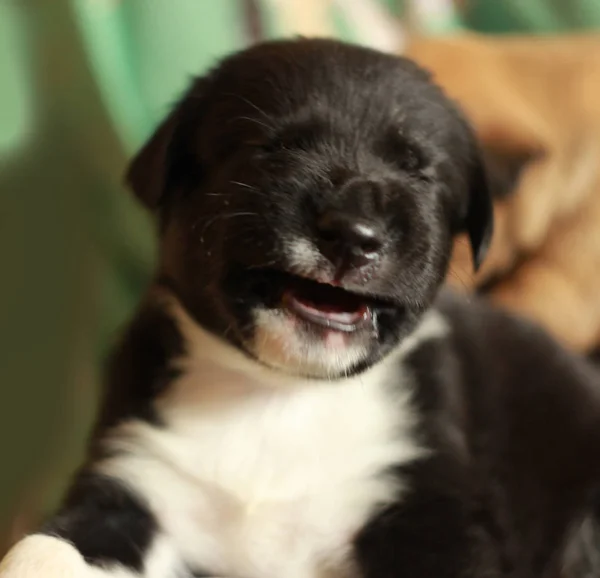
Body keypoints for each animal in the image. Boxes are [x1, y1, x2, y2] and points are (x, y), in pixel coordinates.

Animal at [3, 39, 600, 576]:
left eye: (418, 170)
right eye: (274, 147)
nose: (353, 233)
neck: (277, 396)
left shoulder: (429, 508)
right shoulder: (132, 476)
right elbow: (45, 548)